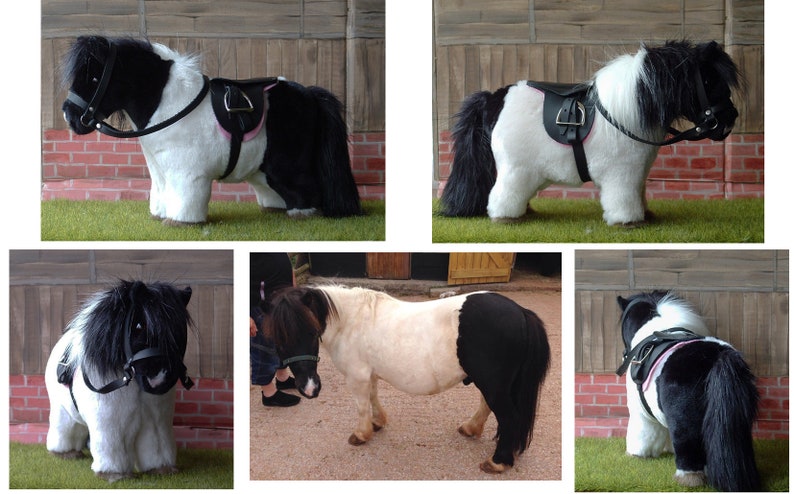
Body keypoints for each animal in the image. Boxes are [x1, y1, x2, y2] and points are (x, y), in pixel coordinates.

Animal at [44, 280, 195, 482]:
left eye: (179, 328)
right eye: (138, 326)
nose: (162, 378)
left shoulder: (157, 421)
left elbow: (157, 446)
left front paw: (162, 469)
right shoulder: (112, 422)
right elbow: (112, 447)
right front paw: (115, 474)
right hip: (62, 410)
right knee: (65, 429)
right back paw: (66, 453)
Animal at [61, 35, 361, 225]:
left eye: (95, 77)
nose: (69, 115)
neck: (169, 102)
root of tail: (309, 95)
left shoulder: (188, 174)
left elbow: (186, 199)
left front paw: (180, 222)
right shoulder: (159, 171)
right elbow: (161, 193)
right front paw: (160, 215)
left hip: (289, 164)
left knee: (306, 189)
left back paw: (301, 214)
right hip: (262, 167)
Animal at [266, 284, 550, 474]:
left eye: (312, 331)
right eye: (279, 338)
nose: (309, 388)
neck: (351, 321)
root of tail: (520, 312)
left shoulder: (356, 376)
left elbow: (361, 405)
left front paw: (361, 434)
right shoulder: (369, 374)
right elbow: (373, 397)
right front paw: (377, 423)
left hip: (493, 384)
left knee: (508, 416)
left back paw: (497, 461)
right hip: (494, 383)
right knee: (488, 406)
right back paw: (472, 429)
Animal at [440, 40, 740, 226]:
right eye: (708, 80)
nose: (730, 119)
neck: (628, 110)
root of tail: (495, 98)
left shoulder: (637, 174)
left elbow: (639, 194)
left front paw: (644, 215)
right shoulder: (622, 174)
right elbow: (622, 198)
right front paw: (627, 221)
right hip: (514, 168)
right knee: (502, 194)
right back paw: (506, 217)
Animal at [616, 290, 760, 491]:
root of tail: (719, 356)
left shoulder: (642, 414)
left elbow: (643, 436)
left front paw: (636, 455)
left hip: (684, 422)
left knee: (688, 451)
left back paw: (688, 479)